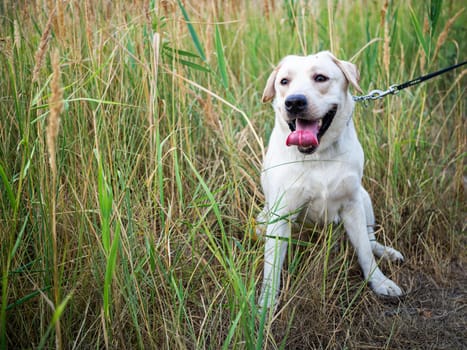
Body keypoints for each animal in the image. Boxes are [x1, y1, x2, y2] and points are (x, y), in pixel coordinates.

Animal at [258, 51, 404, 308]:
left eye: (320, 78)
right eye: (284, 81)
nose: (294, 102)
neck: (318, 156)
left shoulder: (352, 205)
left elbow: (364, 251)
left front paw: (379, 282)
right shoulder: (280, 215)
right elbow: (272, 267)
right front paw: (266, 302)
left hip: (364, 199)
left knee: (369, 239)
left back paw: (387, 252)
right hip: (263, 219)